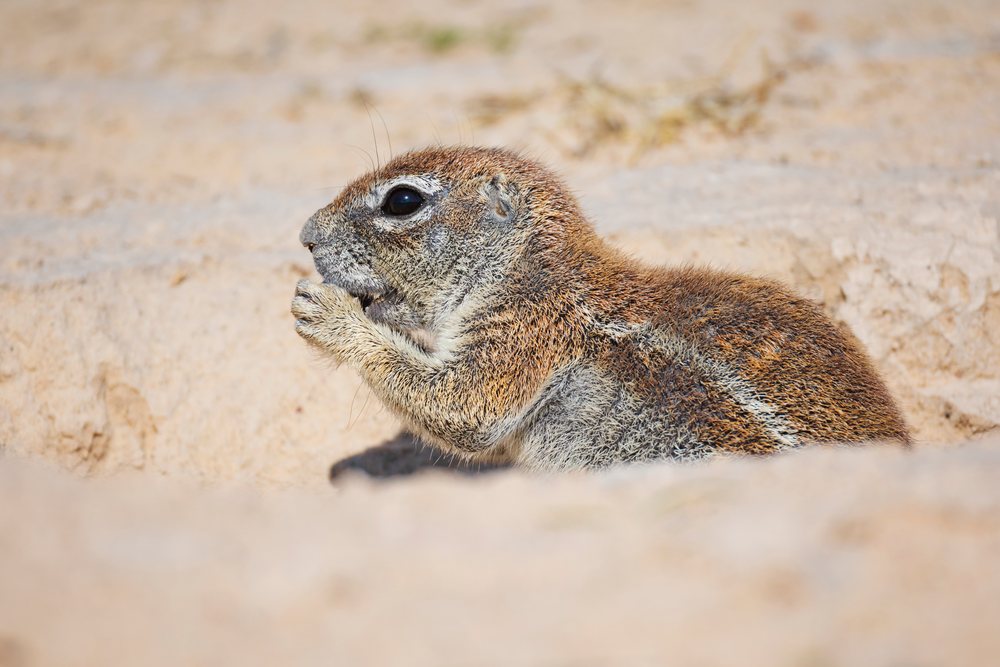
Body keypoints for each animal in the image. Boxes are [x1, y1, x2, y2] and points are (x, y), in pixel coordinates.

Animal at [292, 146, 910, 470]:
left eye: (402, 200)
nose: (306, 236)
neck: (526, 267)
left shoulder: (526, 332)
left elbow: (464, 407)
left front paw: (325, 314)